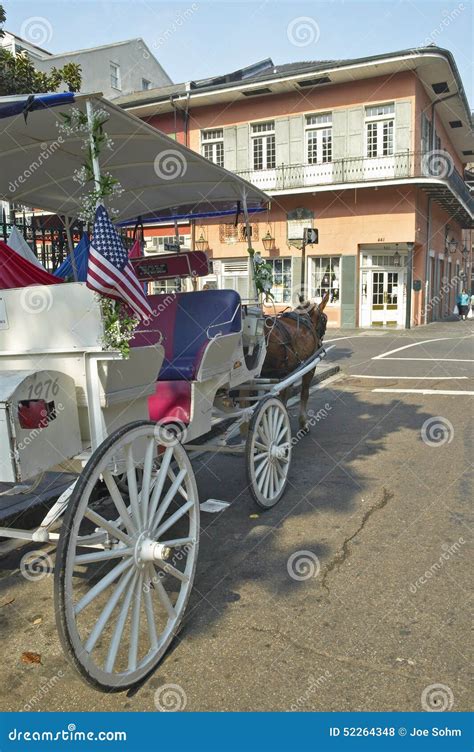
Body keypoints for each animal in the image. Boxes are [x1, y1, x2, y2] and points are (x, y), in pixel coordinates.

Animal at [260, 296, 330, 432]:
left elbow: (285, 396)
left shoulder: (290, 372)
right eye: (325, 319)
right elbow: (304, 393)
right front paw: (301, 423)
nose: (321, 340)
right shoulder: (308, 368)